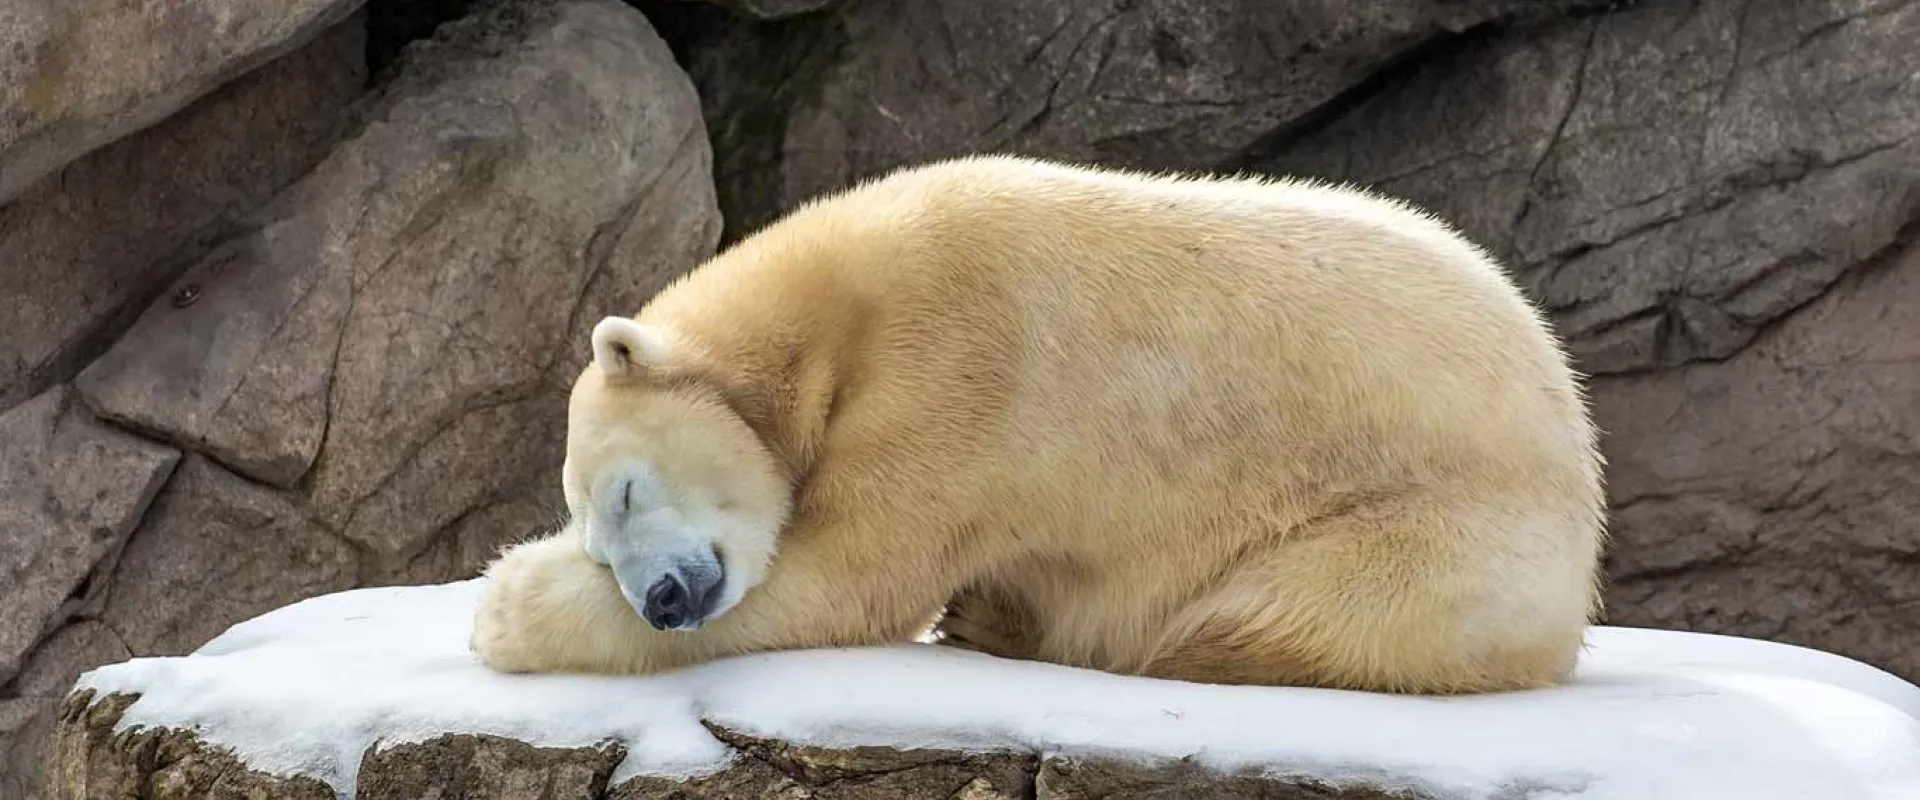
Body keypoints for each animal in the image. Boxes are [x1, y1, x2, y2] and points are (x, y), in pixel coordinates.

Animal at [470, 154, 1608, 694]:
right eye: (601, 538)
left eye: (625, 492)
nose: (663, 598)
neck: (836, 307)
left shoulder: (956, 364)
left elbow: (841, 575)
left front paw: (500, 609)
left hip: (1431, 535)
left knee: (1266, 615)